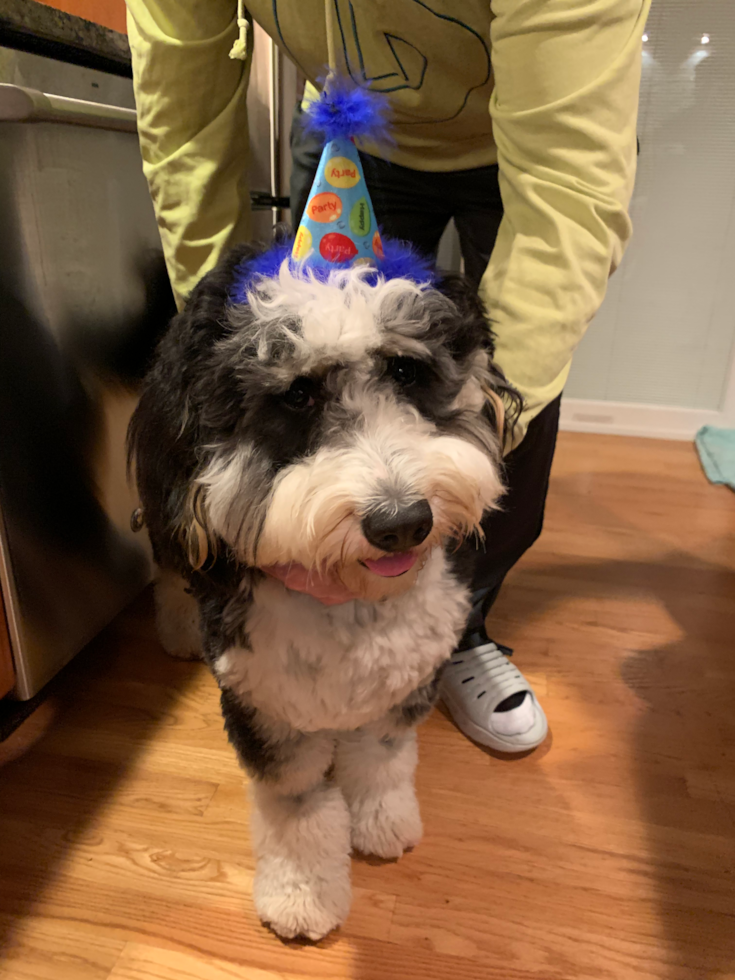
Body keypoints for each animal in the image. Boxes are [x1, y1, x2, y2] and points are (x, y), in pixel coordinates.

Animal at [131, 239, 524, 940]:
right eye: (297, 395)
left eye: (406, 371)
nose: (402, 523)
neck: (352, 597)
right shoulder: (267, 702)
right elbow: (297, 803)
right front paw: (302, 893)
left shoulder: (403, 677)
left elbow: (383, 757)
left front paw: (384, 821)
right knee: (170, 570)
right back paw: (176, 631)